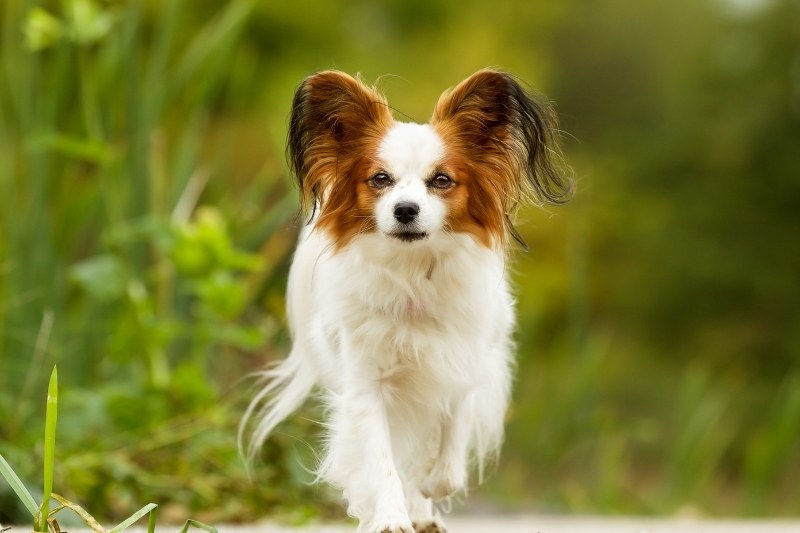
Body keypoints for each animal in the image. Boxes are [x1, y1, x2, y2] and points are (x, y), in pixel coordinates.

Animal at [241, 69, 572, 532]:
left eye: (442, 181)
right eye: (380, 179)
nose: (405, 210)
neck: (414, 275)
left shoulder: (462, 368)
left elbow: (450, 446)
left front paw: (431, 489)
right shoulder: (367, 386)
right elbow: (382, 460)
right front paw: (391, 516)